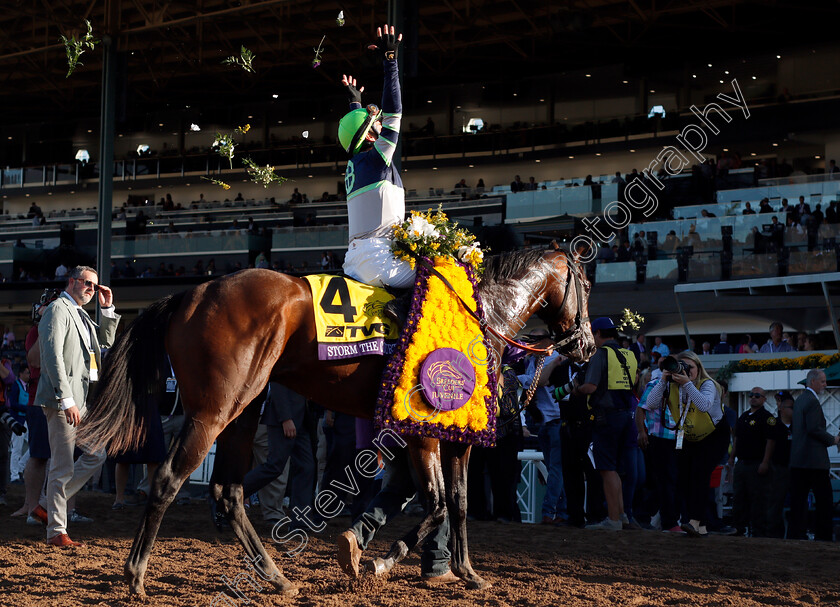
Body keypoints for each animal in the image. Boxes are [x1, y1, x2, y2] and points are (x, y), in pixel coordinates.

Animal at [77, 247, 592, 600]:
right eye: (585, 284)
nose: (585, 345)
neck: (481, 314)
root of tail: (193, 292)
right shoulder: (424, 432)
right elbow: (438, 503)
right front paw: (379, 562)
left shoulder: (453, 436)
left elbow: (459, 504)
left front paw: (466, 572)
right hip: (214, 409)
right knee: (168, 479)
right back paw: (136, 576)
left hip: (246, 408)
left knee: (229, 490)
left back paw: (275, 576)